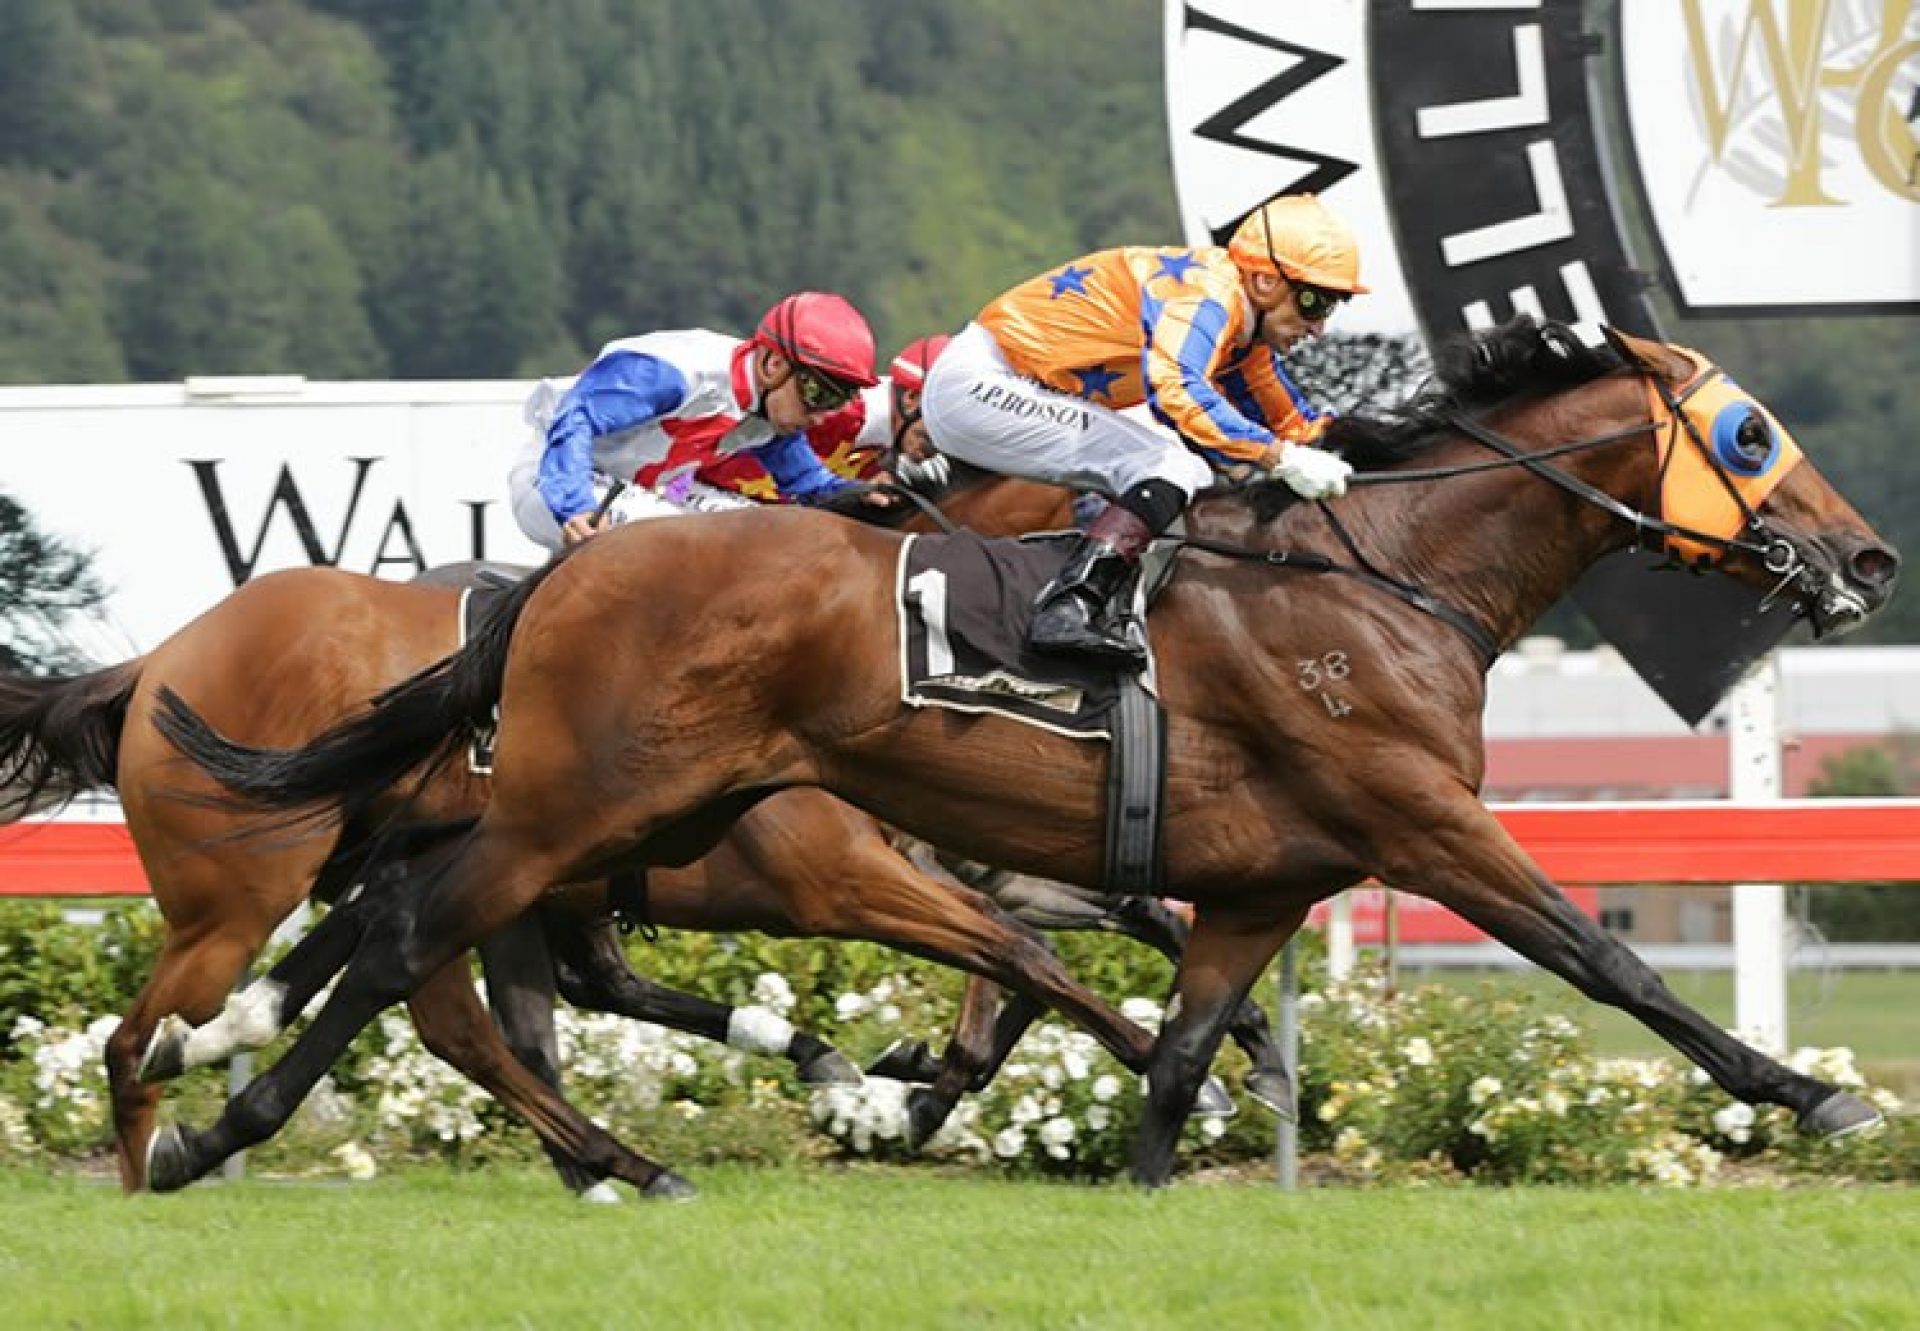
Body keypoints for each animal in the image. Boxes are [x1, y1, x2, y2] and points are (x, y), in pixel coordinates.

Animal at [157, 316, 1896, 1190]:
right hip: (588, 810)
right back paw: (219, 1127)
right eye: (1752, 434)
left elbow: (1179, 1046)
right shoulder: (1420, 818)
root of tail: (569, 569)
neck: (1389, 581)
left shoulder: (1258, 884)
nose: (1869, 559)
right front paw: (1811, 1093)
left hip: (634, 820)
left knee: (422, 942)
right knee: (413, 944)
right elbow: (1614, 966)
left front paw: (1145, 1170)